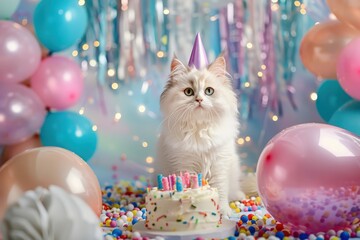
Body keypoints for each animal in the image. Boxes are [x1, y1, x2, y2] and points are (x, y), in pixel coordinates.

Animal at [153, 54, 246, 216]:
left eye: (209, 91)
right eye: (189, 92)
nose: (199, 100)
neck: (199, 128)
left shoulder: (219, 165)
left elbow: (221, 191)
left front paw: (224, 212)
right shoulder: (185, 165)